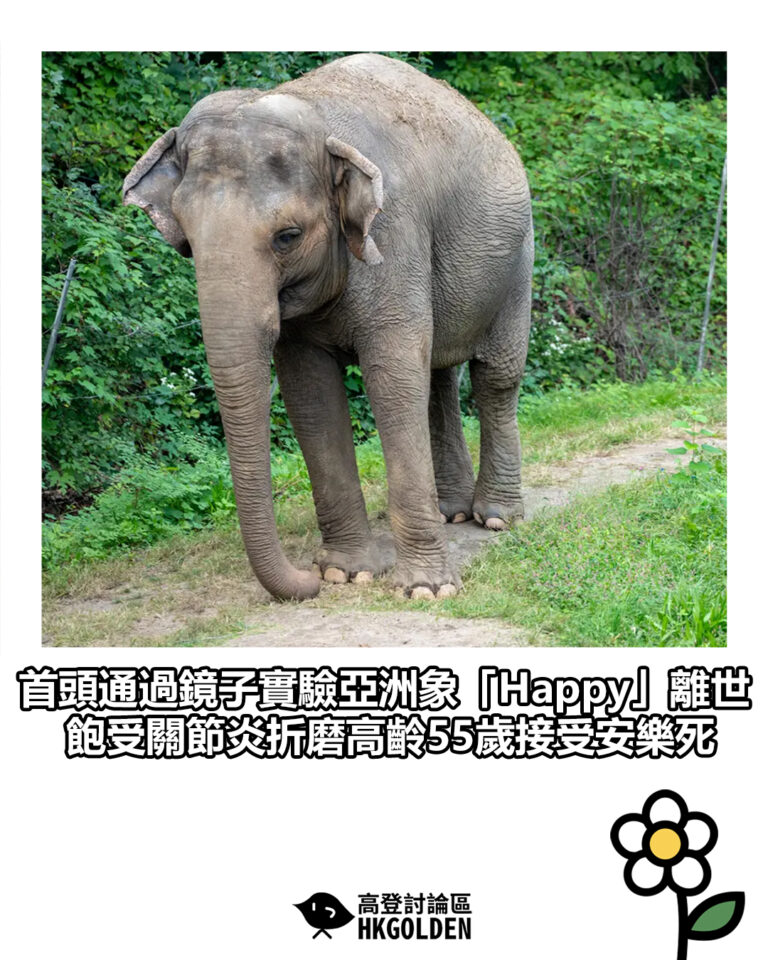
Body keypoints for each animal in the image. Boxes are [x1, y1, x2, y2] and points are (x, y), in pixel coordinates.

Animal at [123, 53, 532, 602]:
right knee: (439, 377)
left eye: (288, 236)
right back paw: (453, 513)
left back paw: (496, 519)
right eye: (186, 239)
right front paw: (347, 573)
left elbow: (391, 381)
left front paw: (426, 590)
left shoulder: (394, 233)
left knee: (495, 377)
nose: (308, 579)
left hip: (519, 257)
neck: (316, 119)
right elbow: (312, 395)